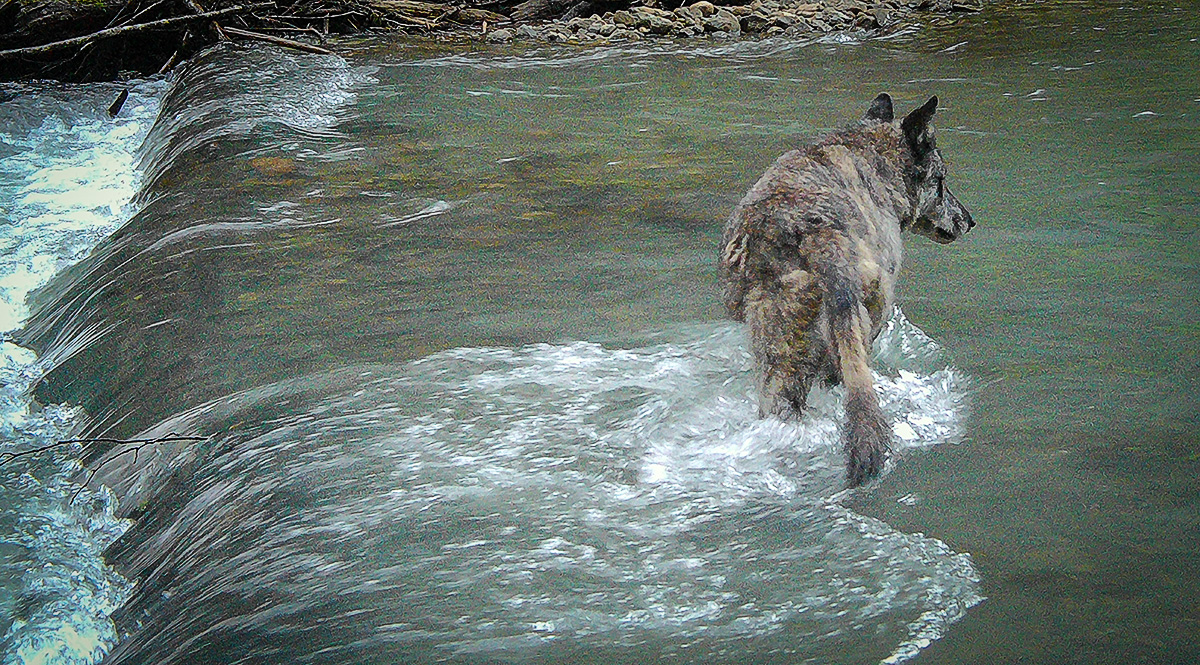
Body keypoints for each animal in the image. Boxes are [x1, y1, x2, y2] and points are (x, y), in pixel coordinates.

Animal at [719, 93, 974, 486]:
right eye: (941, 180)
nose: (970, 221)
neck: (874, 158)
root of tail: (813, 230)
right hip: (860, 319)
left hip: (777, 350)